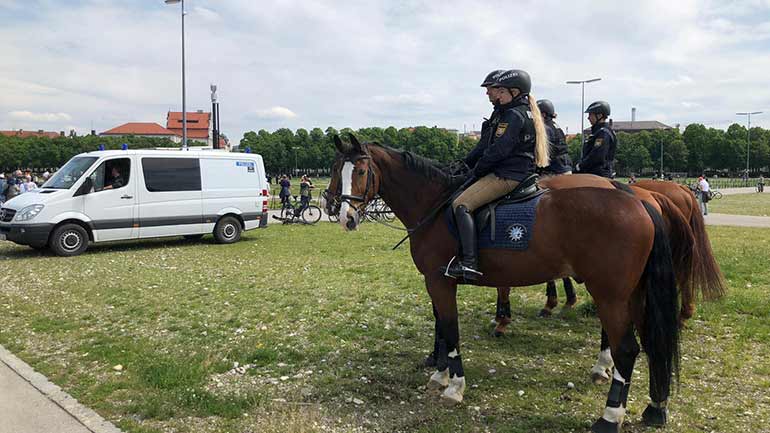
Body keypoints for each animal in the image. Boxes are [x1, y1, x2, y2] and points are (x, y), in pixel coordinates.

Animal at [328, 136, 688, 432]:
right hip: (632, 294)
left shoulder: (439, 282)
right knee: (651, 340)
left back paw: (610, 417)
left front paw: (454, 386)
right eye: (335, 170)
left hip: (611, 294)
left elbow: (450, 329)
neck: (435, 205)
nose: (343, 216)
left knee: (626, 348)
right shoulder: (436, 281)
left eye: (361, 171)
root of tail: (639, 201)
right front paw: (440, 373)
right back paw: (655, 407)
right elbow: (442, 327)